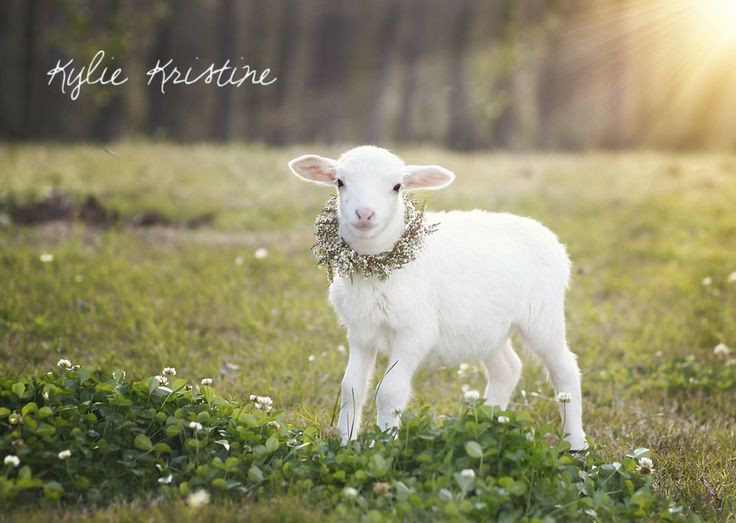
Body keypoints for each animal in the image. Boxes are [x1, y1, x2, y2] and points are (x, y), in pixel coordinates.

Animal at [288, 145, 588, 452]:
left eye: (397, 186)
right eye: (340, 182)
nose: (364, 214)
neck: (376, 269)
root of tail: (550, 238)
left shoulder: (415, 332)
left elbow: (389, 392)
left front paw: (384, 446)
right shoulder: (360, 332)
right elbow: (351, 389)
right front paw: (346, 445)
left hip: (542, 316)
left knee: (565, 370)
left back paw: (576, 443)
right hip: (487, 328)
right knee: (507, 369)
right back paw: (488, 426)